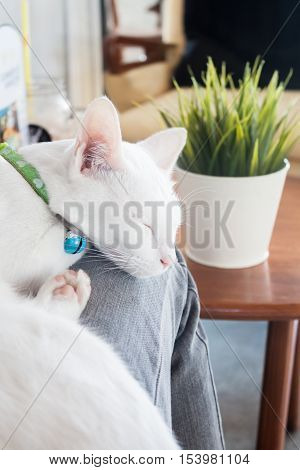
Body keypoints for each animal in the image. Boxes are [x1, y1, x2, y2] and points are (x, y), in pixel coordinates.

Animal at [0, 94, 188, 448]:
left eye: (174, 228)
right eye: (143, 225)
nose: (169, 261)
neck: (33, 180)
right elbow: (71, 244)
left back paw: (64, 294)